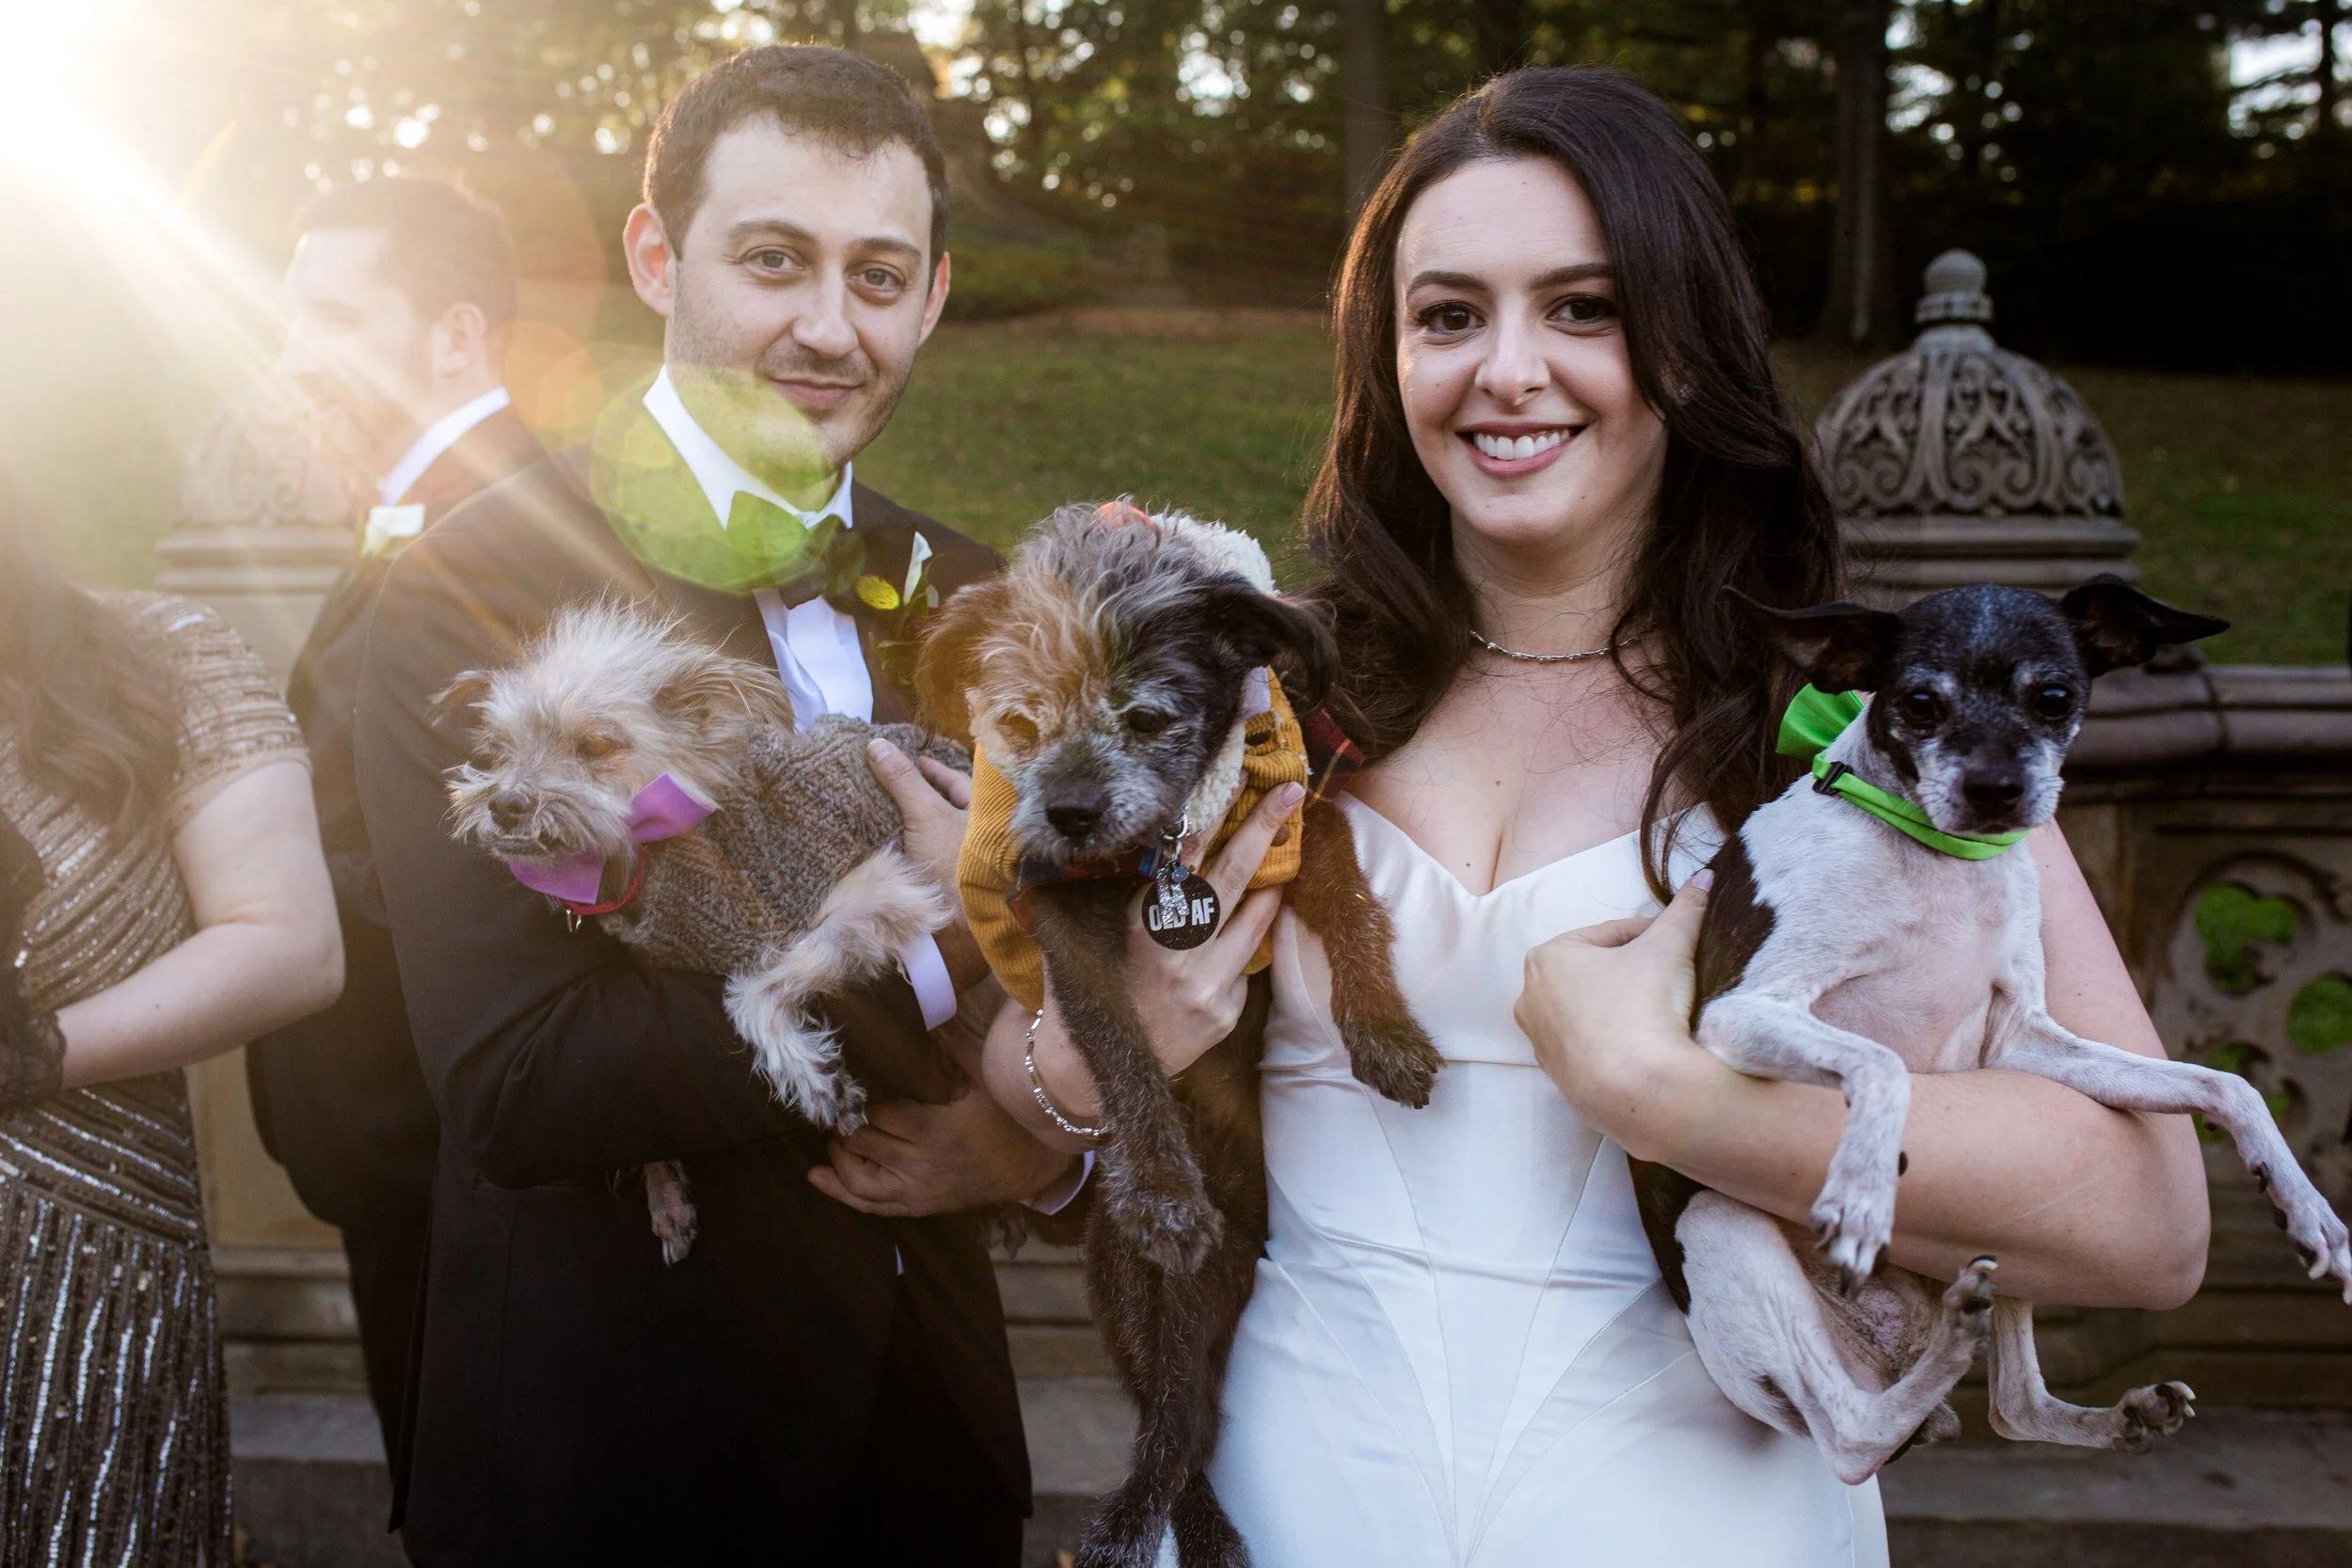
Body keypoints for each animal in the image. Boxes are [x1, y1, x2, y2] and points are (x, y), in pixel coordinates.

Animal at [441, 598, 968, 1262]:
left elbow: (754, 990)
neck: (659, 855)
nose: (505, 803)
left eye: (596, 744)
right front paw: (664, 1189)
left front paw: (809, 1076)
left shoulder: (870, 893)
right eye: (498, 750)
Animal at [917, 503, 1441, 1568]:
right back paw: (1156, 1519)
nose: (1072, 811)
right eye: (1021, 722)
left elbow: (1352, 904)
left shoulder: (1295, 826)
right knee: (1172, 1416)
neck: (1153, 851)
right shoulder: (1060, 908)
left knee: (1195, 1410)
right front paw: (1161, 1181)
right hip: (1130, 1282)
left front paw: (1384, 1029)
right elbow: (1118, 1038)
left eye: (1148, 718)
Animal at [1629, 575, 2352, 1486]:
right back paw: (1943, 1347)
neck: (1936, 860)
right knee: (1853, 1437)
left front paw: (2305, 1206)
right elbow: (1883, 1064)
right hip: (1720, 1222)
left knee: (2012, 1404)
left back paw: (2092, 1408)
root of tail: (1891, 1349)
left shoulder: (2025, 1041)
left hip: (2007, 1229)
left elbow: (2227, 1082)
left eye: (2054, 697)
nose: (1997, 789)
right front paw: (1863, 1185)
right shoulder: (1739, 1012)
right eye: (1919, 702)